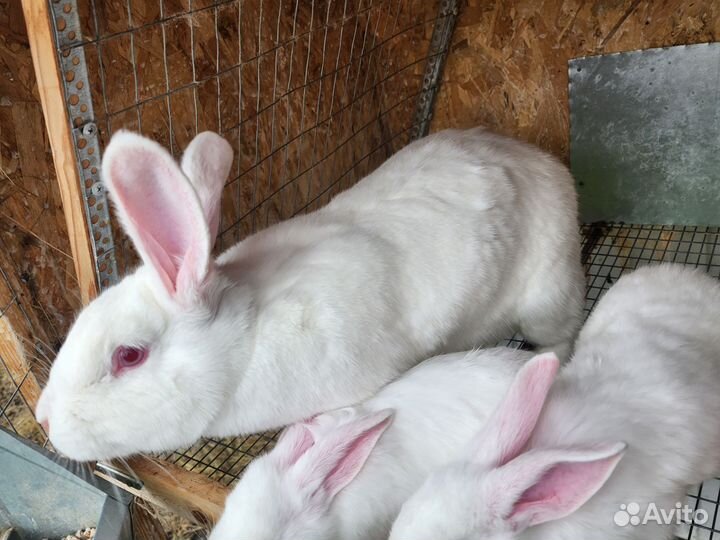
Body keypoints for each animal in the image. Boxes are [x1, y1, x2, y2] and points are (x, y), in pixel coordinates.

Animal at [35, 127, 584, 461]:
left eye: (129, 356)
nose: (42, 419)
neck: (246, 341)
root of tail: (544, 161)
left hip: (547, 296)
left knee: (561, 336)